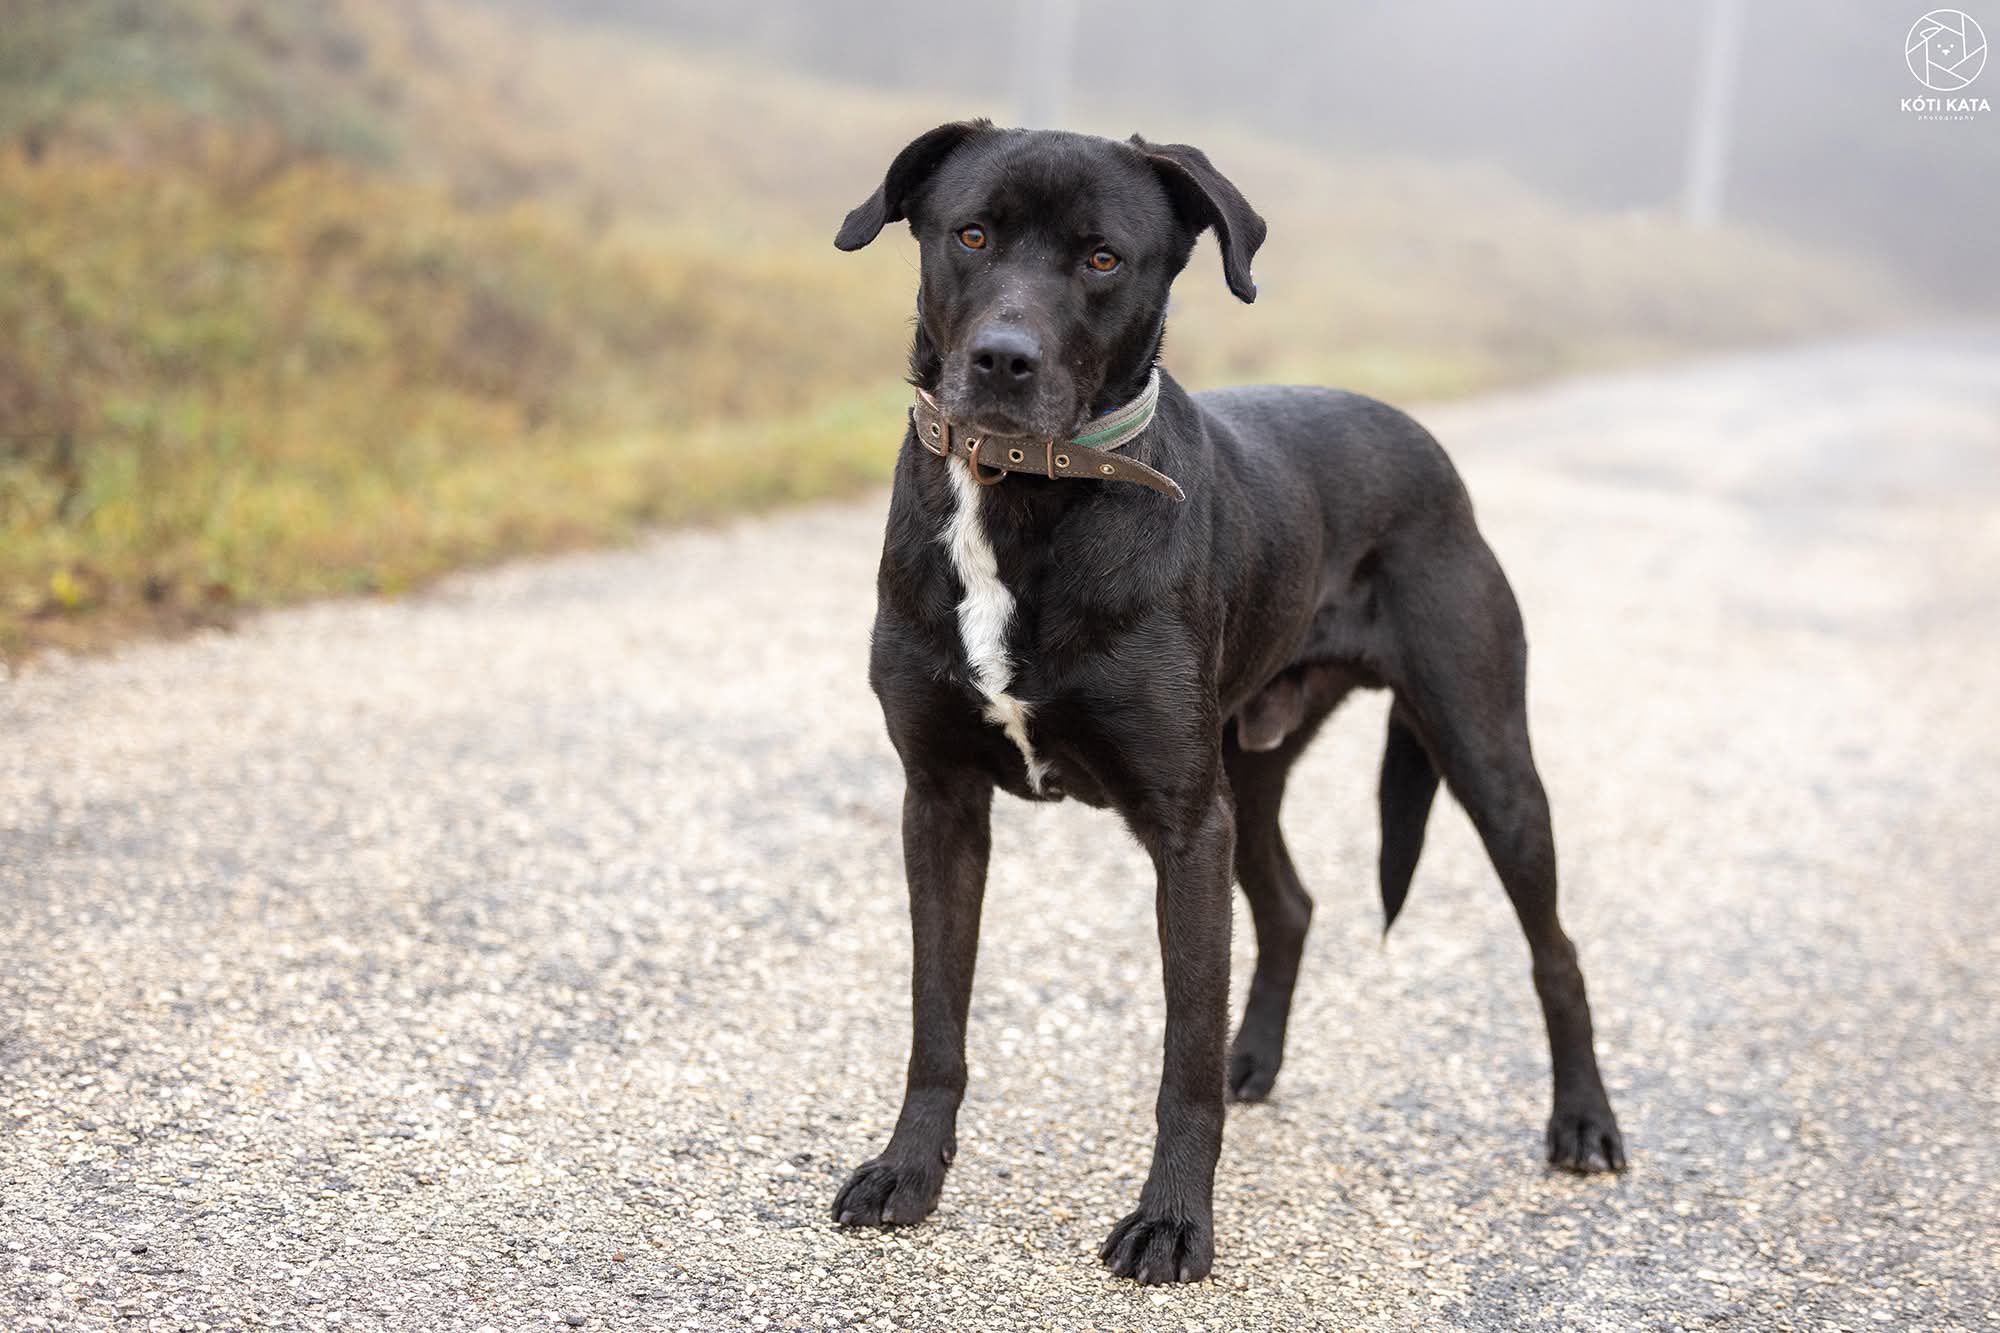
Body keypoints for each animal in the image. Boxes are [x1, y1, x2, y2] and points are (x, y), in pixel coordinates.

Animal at [828, 121, 1625, 1286]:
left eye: (1102, 258)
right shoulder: (938, 803)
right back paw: (1259, 1057)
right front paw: (906, 1173)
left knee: (1553, 948)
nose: (1002, 361)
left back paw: (1584, 1123)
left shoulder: (1183, 825)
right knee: (1290, 904)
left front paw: (1171, 1222)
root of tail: (1426, 444)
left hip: (1480, 752)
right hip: (1248, 769)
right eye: (969, 234)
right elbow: (937, 1021)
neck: (1024, 498)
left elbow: (1182, 1058)